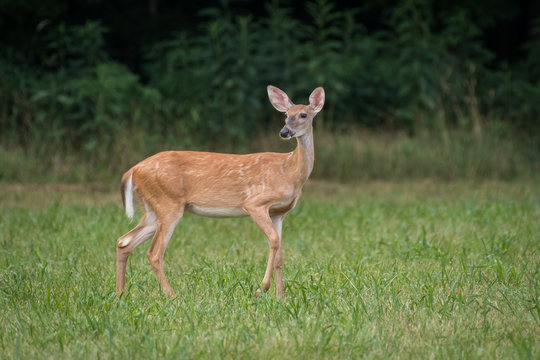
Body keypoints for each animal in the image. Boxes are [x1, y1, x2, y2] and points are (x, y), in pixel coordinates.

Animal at [115, 85, 324, 298]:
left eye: (303, 114)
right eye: (285, 115)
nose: (284, 132)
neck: (289, 171)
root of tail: (133, 170)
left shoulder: (279, 212)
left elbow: (280, 253)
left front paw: (280, 297)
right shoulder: (254, 203)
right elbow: (273, 240)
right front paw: (263, 287)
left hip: (152, 208)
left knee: (124, 242)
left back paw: (119, 294)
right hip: (168, 203)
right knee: (154, 253)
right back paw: (172, 295)